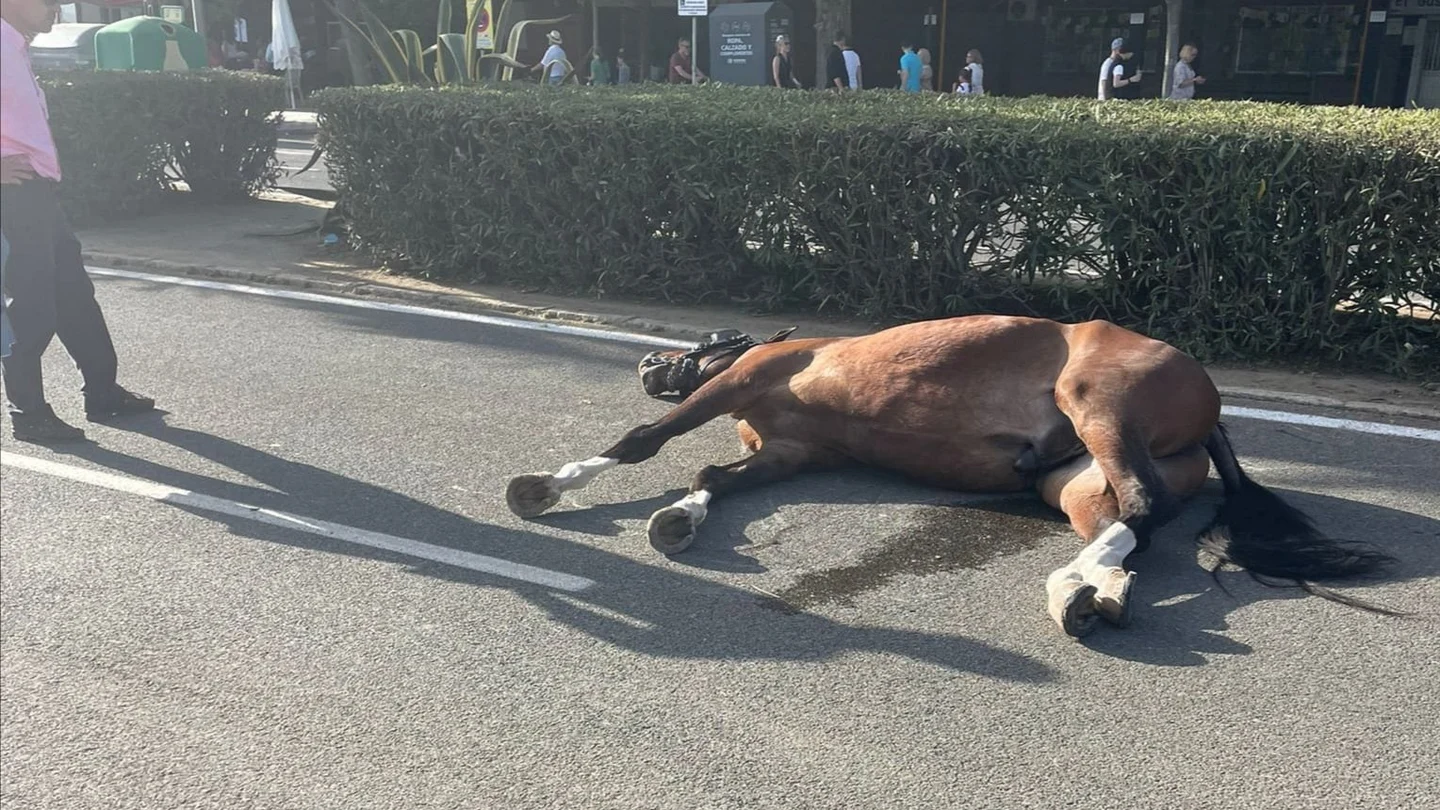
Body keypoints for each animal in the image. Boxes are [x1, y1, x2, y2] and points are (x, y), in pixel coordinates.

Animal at [505, 315, 1397, 638]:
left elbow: (647, 441)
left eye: (705, 341)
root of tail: (1209, 405)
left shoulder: (740, 383)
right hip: (1074, 481)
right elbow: (716, 474)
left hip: (1098, 407)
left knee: (1141, 508)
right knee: (1131, 526)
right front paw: (681, 519)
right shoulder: (792, 453)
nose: (649, 363)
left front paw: (548, 485)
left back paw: (1070, 588)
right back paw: (1090, 591)